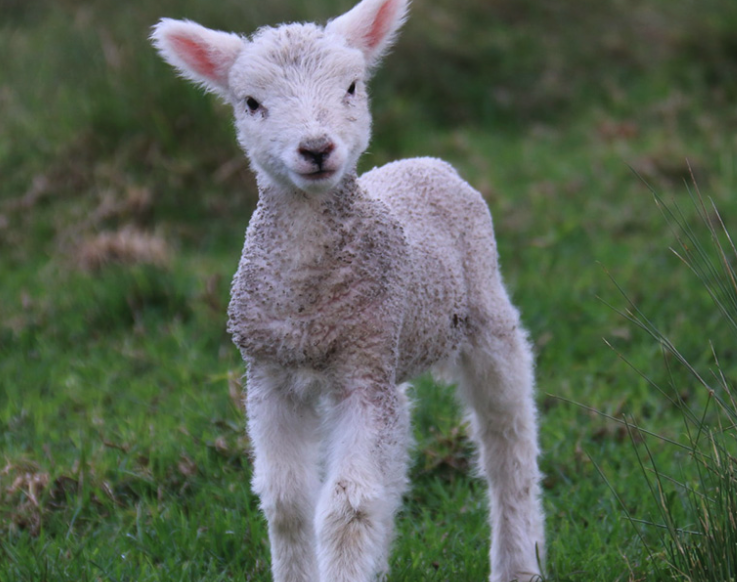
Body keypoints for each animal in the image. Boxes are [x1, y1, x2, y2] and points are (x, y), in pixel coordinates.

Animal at [154, 1, 548, 582]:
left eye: (352, 87)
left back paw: (519, 561)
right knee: (401, 444)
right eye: (251, 103)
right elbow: (286, 502)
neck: (306, 302)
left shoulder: (361, 372)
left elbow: (348, 506)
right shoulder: (270, 376)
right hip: (391, 352)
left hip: (483, 312)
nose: (316, 148)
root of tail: (426, 163)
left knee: (508, 441)